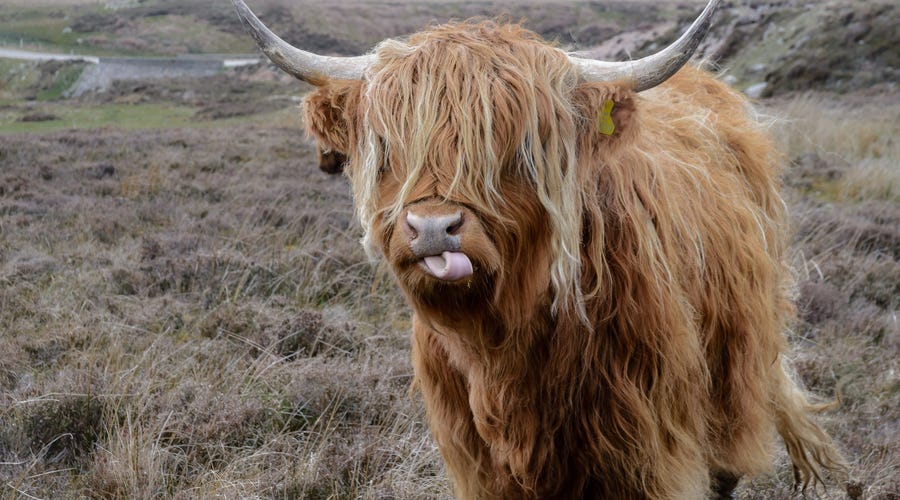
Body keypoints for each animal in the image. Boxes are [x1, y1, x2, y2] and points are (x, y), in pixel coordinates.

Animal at [232, 1, 848, 498]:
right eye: (387, 149)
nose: (432, 229)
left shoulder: (646, 446)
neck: (505, 348)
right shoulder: (477, 460)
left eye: (518, 150)